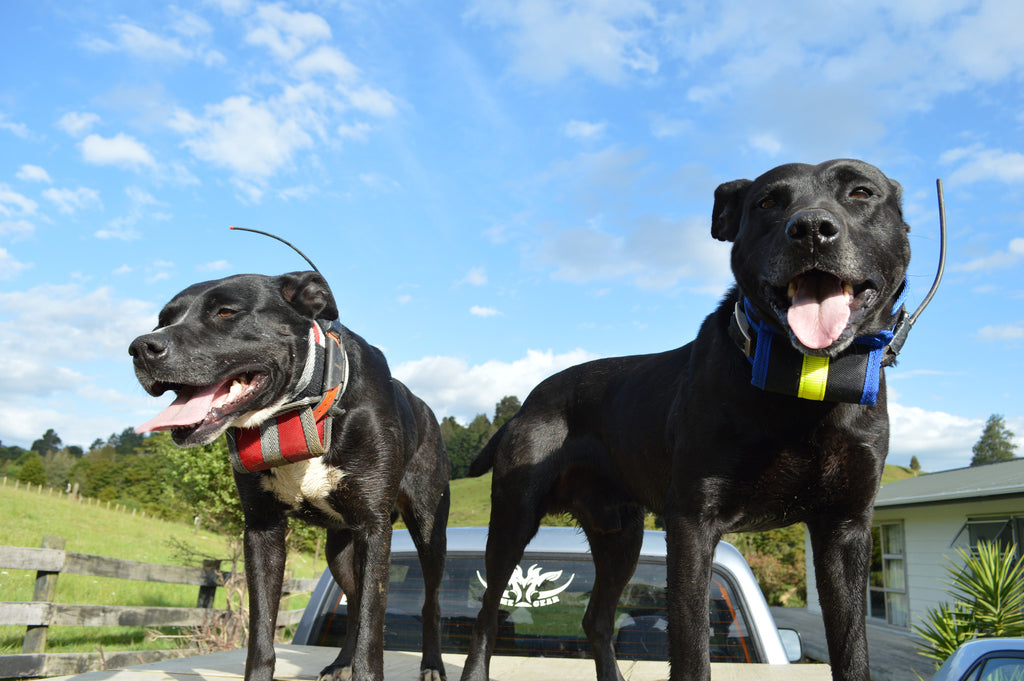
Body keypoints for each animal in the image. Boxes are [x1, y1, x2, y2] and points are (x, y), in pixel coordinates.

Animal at [130, 270, 450, 679]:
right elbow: (261, 631)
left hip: (428, 531)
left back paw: (432, 664)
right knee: (354, 601)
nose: (140, 348)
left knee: (429, 602)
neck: (298, 413)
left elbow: (372, 628)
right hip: (339, 551)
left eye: (225, 312)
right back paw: (340, 662)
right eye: (163, 320)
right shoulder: (262, 529)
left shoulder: (375, 529)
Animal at [464, 160, 913, 679]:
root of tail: (527, 401)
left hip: (620, 535)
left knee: (596, 618)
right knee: (487, 615)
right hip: (515, 517)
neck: (802, 390)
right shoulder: (693, 524)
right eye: (768, 202)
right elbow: (693, 650)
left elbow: (853, 651)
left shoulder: (845, 529)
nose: (812, 230)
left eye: (861, 192)